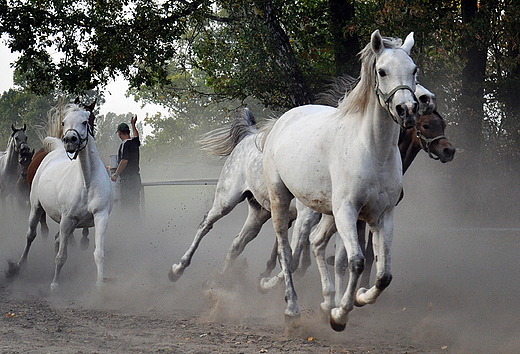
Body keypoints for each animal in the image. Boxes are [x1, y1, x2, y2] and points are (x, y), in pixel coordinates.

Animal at [9, 102, 113, 290]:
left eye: (85, 121)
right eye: (64, 122)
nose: (70, 140)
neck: (87, 181)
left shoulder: (100, 216)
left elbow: (98, 253)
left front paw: (100, 284)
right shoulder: (67, 220)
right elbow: (61, 256)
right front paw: (54, 284)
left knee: (56, 240)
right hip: (36, 208)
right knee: (31, 235)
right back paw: (21, 264)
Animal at [262, 31, 416, 332]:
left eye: (414, 70)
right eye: (382, 71)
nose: (407, 110)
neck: (372, 150)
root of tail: (280, 121)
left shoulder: (382, 215)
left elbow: (383, 274)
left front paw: (358, 297)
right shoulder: (348, 211)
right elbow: (356, 262)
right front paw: (340, 316)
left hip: (328, 212)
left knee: (316, 242)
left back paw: (326, 301)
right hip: (283, 199)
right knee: (287, 252)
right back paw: (292, 309)